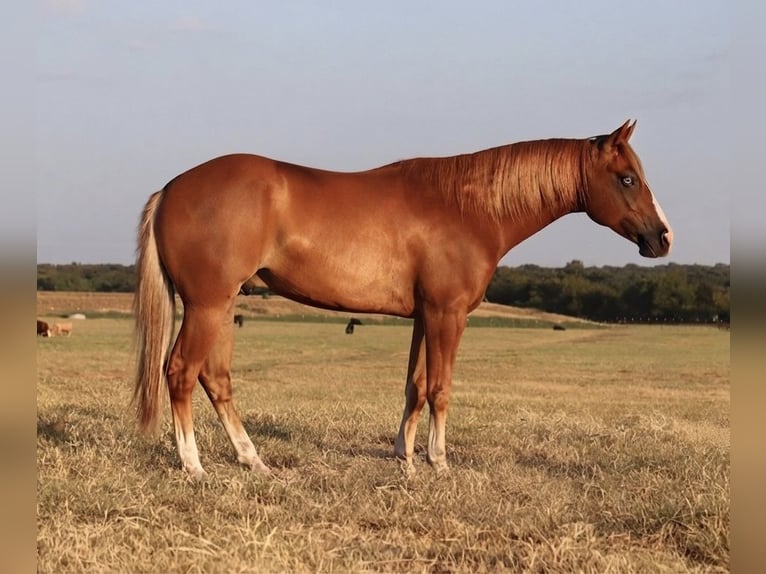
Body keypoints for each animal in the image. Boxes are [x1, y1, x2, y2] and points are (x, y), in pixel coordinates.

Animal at [133, 120, 672, 479]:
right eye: (627, 178)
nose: (662, 238)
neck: (468, 207)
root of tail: (172, 188)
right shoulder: (448, 314)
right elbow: (441, 388)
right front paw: (438, 463)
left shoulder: (423, 316)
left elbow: (415, 386)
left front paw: (405, 459)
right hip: (207, 307)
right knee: (180, 372)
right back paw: (194, 466)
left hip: (223, 307)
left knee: (215, 378)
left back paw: (254, 460)